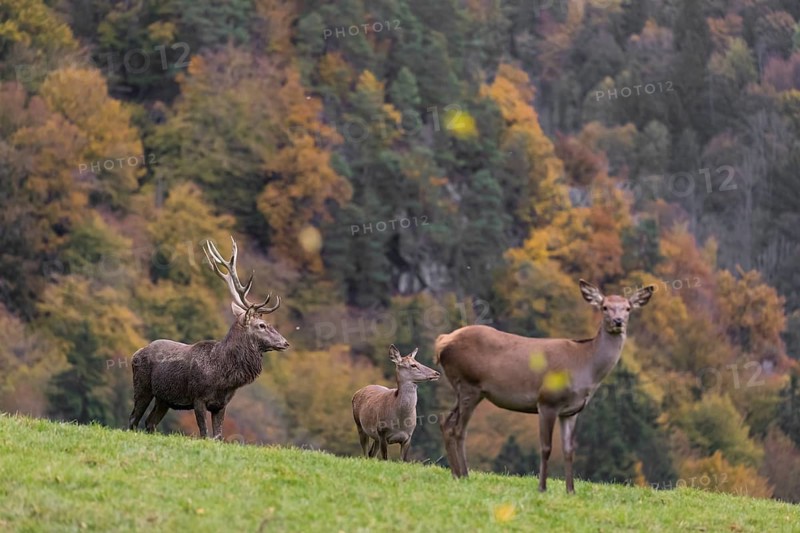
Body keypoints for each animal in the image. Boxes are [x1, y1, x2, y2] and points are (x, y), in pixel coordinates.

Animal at [128, 237, 290, 439]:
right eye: (261, 325)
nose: (285, 342)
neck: (222, 375)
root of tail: (136, 352)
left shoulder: (221, 404)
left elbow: (218, 436)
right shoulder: (198, 397)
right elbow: (204, 433)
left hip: (164, 398)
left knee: (150, 422)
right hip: (142, 386)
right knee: (133, 419)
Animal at [435, 279, 653, 493]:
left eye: (627, 308)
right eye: (605, 307)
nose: (618, 321)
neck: (585, 367)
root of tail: (442, 341)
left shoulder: (571, 411)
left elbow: (568, 450)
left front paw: (570, 490)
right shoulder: (548, 401)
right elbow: (546, 447)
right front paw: (542, 487)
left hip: (469, 389)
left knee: (446, 422)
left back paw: (456, 474)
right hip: (469, 383)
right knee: (459, 429)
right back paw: (464, 475)